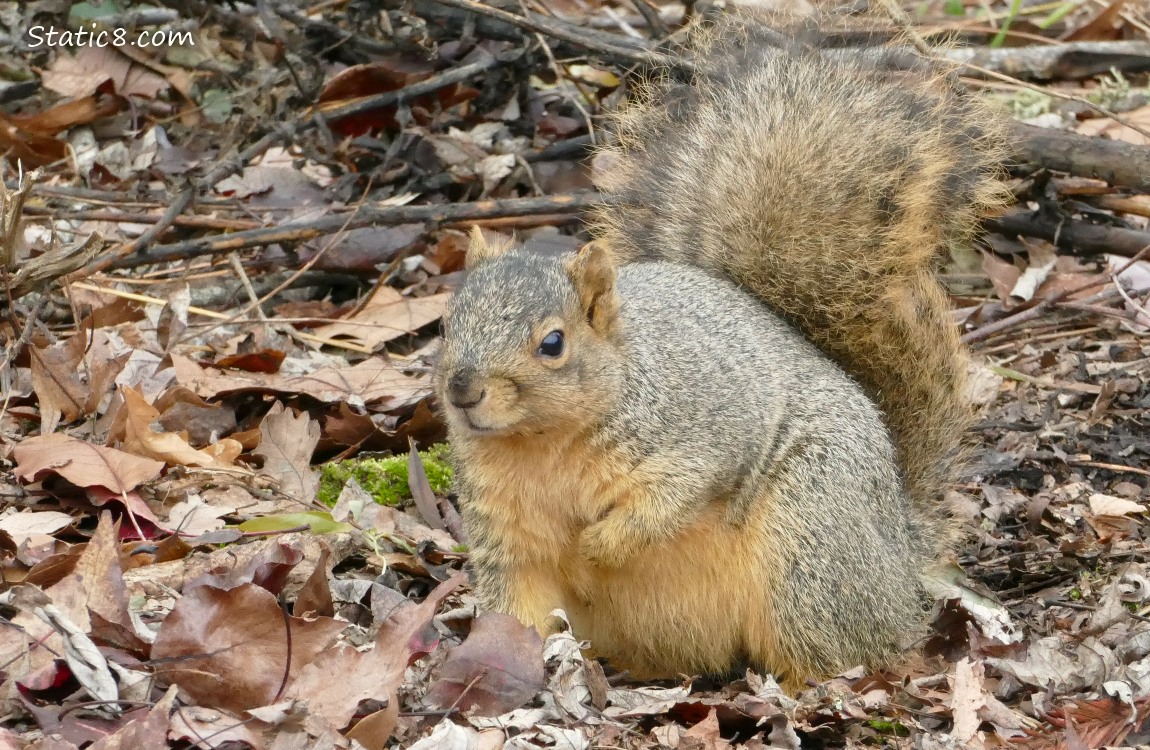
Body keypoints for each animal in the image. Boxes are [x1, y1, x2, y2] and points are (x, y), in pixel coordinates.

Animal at [432, 13, 1007, 690]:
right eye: (447, 324)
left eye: (552, 343)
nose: (462, 389)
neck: (542, 445)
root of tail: (898, 554)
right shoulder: (505, 534)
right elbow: (516, 604)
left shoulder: (706, 428)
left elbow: (675, 493)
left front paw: (603, 544)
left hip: (810, 535)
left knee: (844, 644)